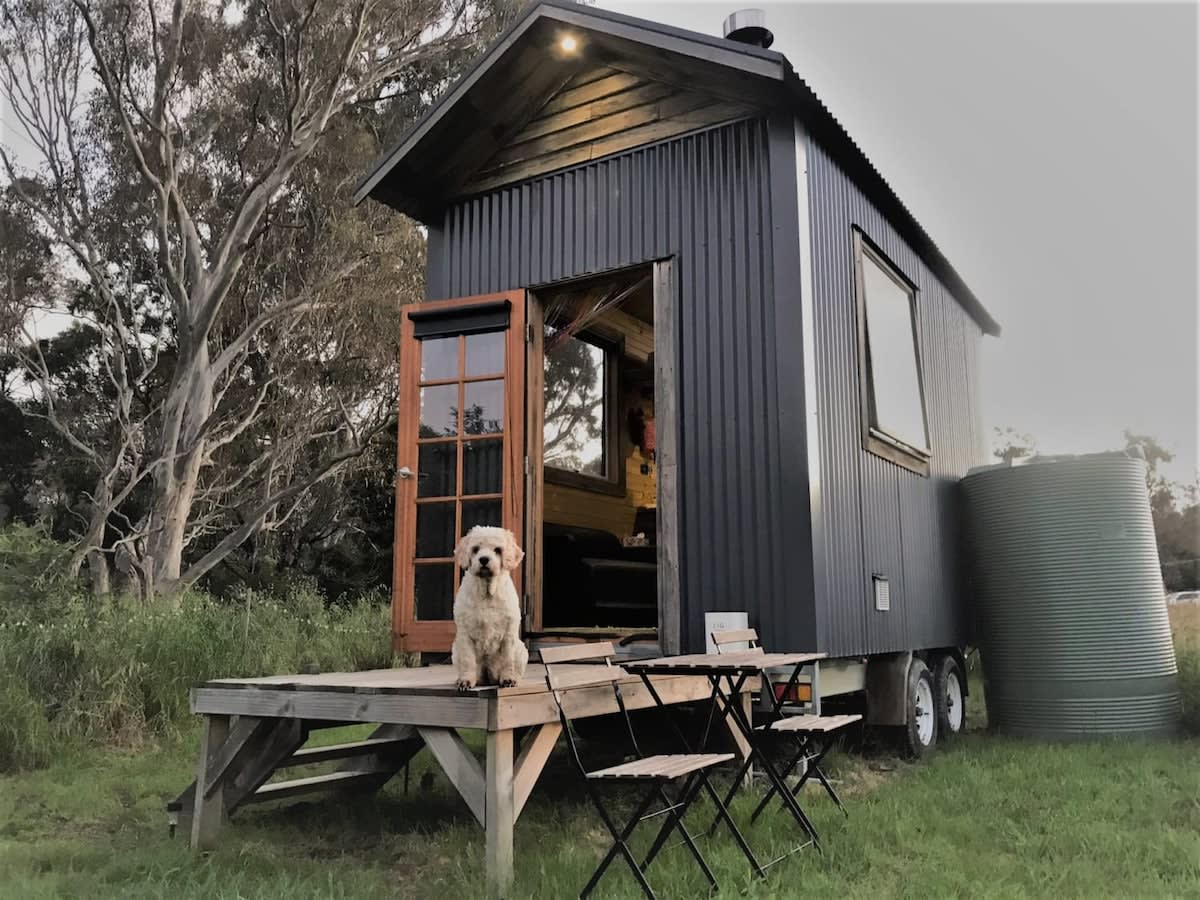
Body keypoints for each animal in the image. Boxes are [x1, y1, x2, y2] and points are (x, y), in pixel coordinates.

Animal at [451, 525, 525, 696]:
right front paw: (465, 681)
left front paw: (508, 679)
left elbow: (507, 659)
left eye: (497, 550)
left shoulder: (509, 633)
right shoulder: (465, 634)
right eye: (475, 549)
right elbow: (468, 660)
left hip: (521, 650)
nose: (484, 559)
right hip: (455, 650)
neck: (486, 592)